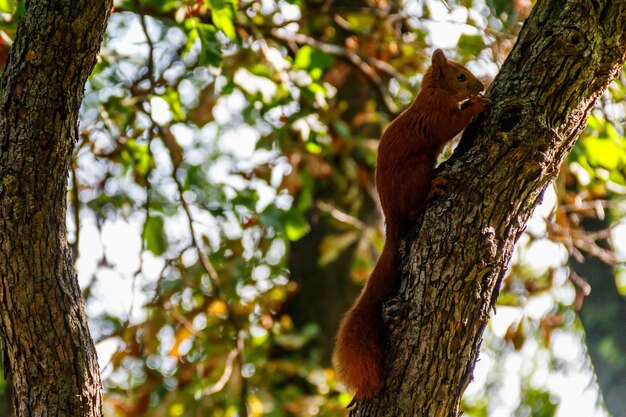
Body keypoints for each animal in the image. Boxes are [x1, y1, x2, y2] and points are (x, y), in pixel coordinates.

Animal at [330, 49, 490, 400]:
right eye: (460, 76)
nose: (481, 85)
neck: (433, 91)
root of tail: (391, 217)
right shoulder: (436, 115)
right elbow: (451, 124)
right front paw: (477, 105)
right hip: (416, 171)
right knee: (416, 207)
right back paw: (432, 190)